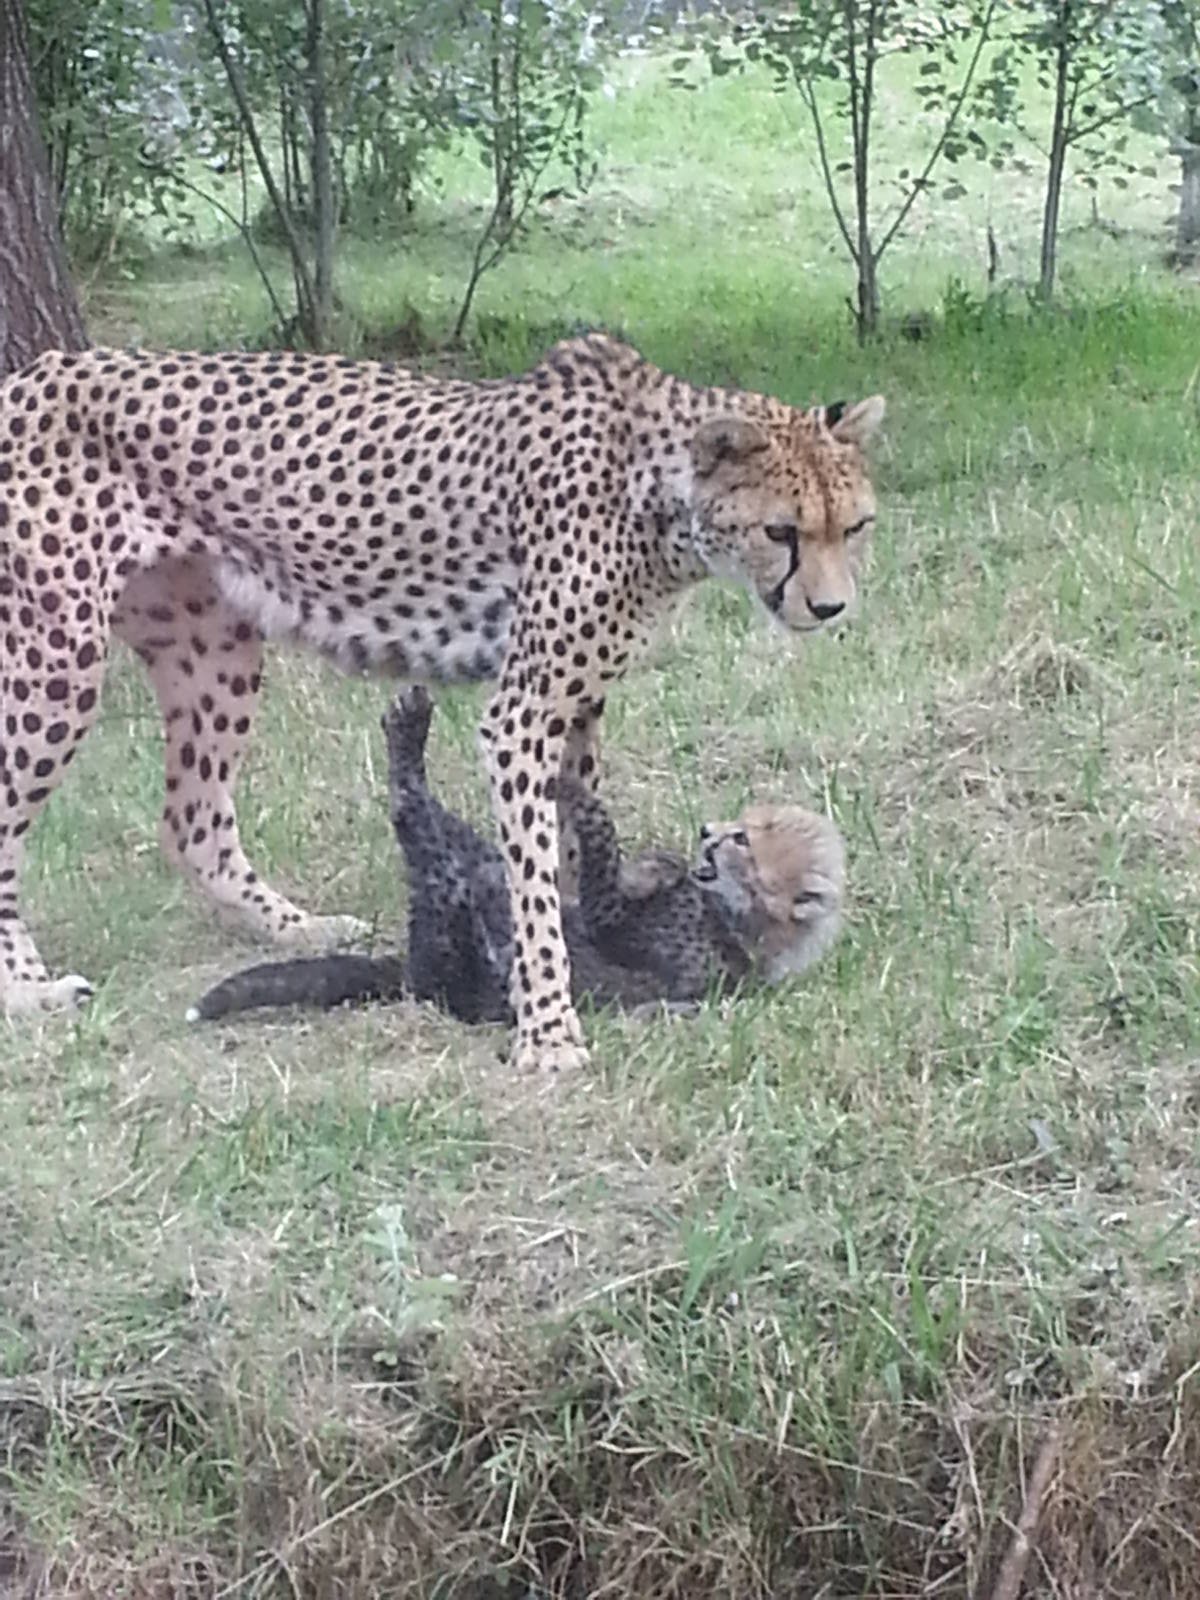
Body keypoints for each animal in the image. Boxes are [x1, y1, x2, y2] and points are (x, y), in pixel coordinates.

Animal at [188, 684, 845, 1024]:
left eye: (743, 841)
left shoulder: (641, 937)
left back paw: (409, 734)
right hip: (485, 869)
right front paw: (657, 862)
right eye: (739, 824)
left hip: (453, 919)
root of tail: (408, 974)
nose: (708, 830)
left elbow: (603, 858)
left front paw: (573, 789)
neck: (735, 923)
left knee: (412, 815)